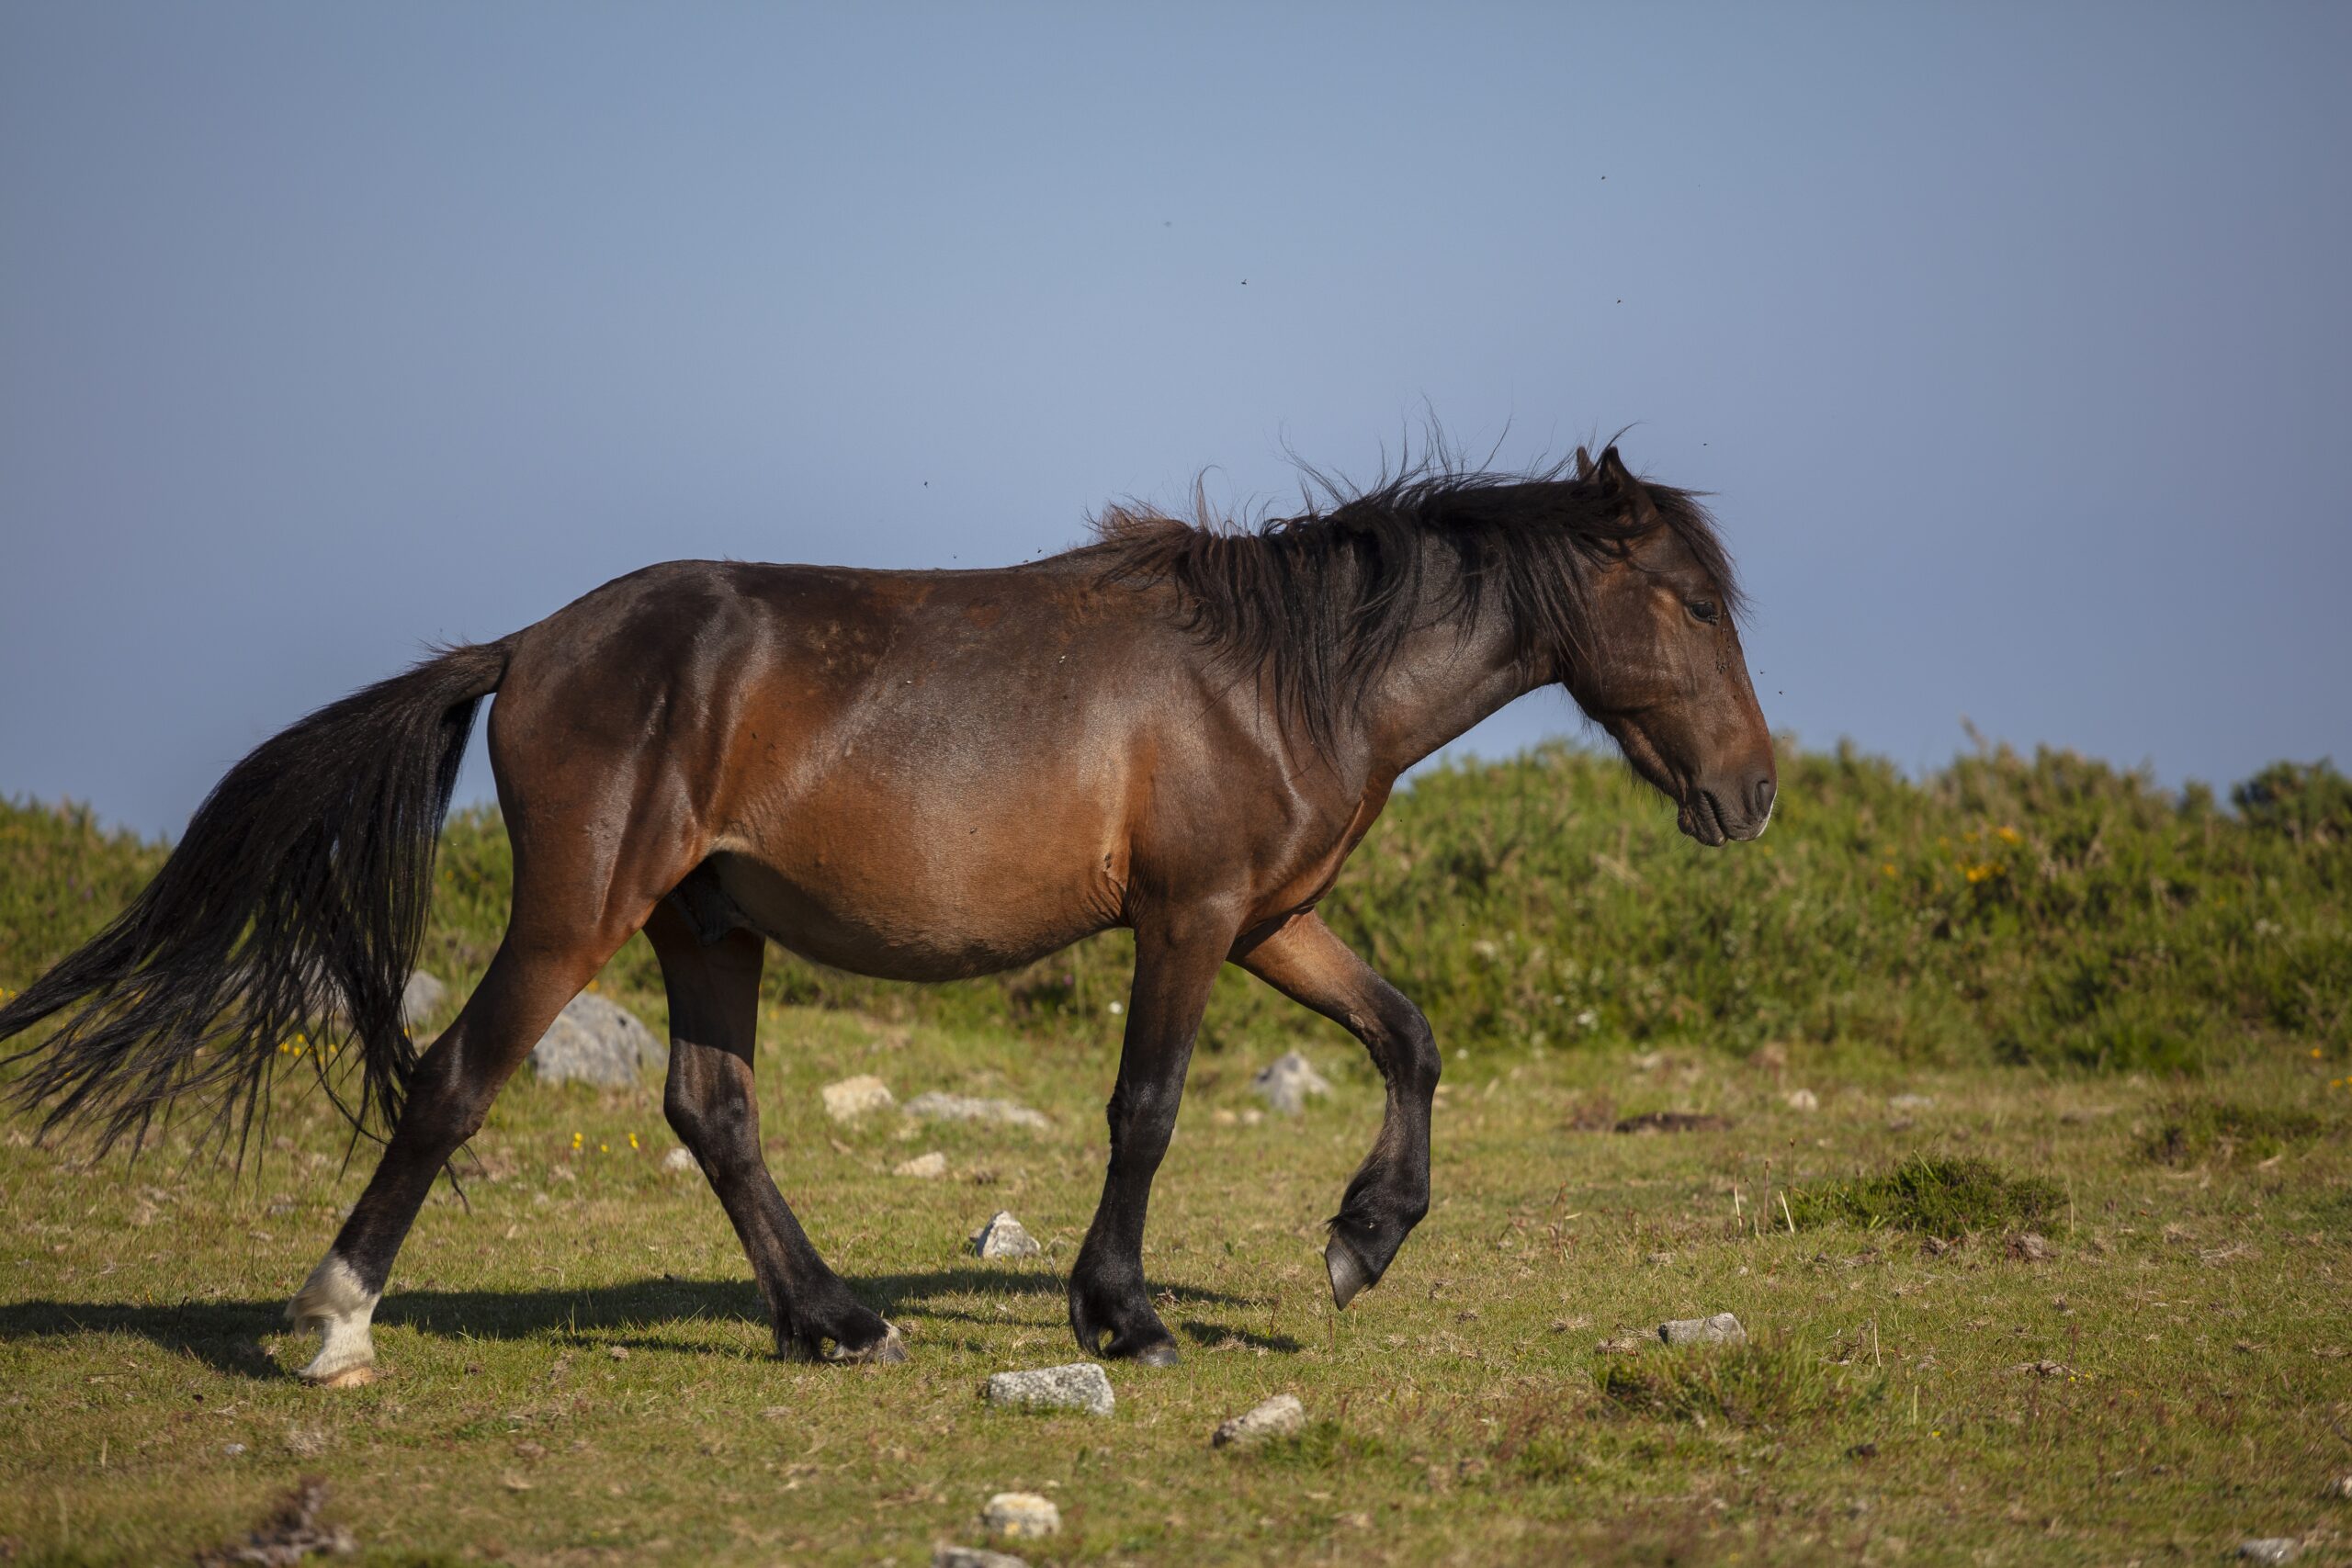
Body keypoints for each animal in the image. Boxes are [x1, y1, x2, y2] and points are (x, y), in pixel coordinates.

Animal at [0, 442, 1773, 1385]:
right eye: (1690, 602)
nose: (1751, 795)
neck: (1276, 675)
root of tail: (526, 644)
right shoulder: (1190, 918)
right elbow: (1147, 1109)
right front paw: (1125, 1313)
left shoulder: (1272, 918)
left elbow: (1410, 1035)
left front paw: (1361, 1240)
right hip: (580, 912)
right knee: (451, 1085)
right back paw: (333, 1321)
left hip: (707, 925)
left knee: (712, 1110)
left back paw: (834, 1320)